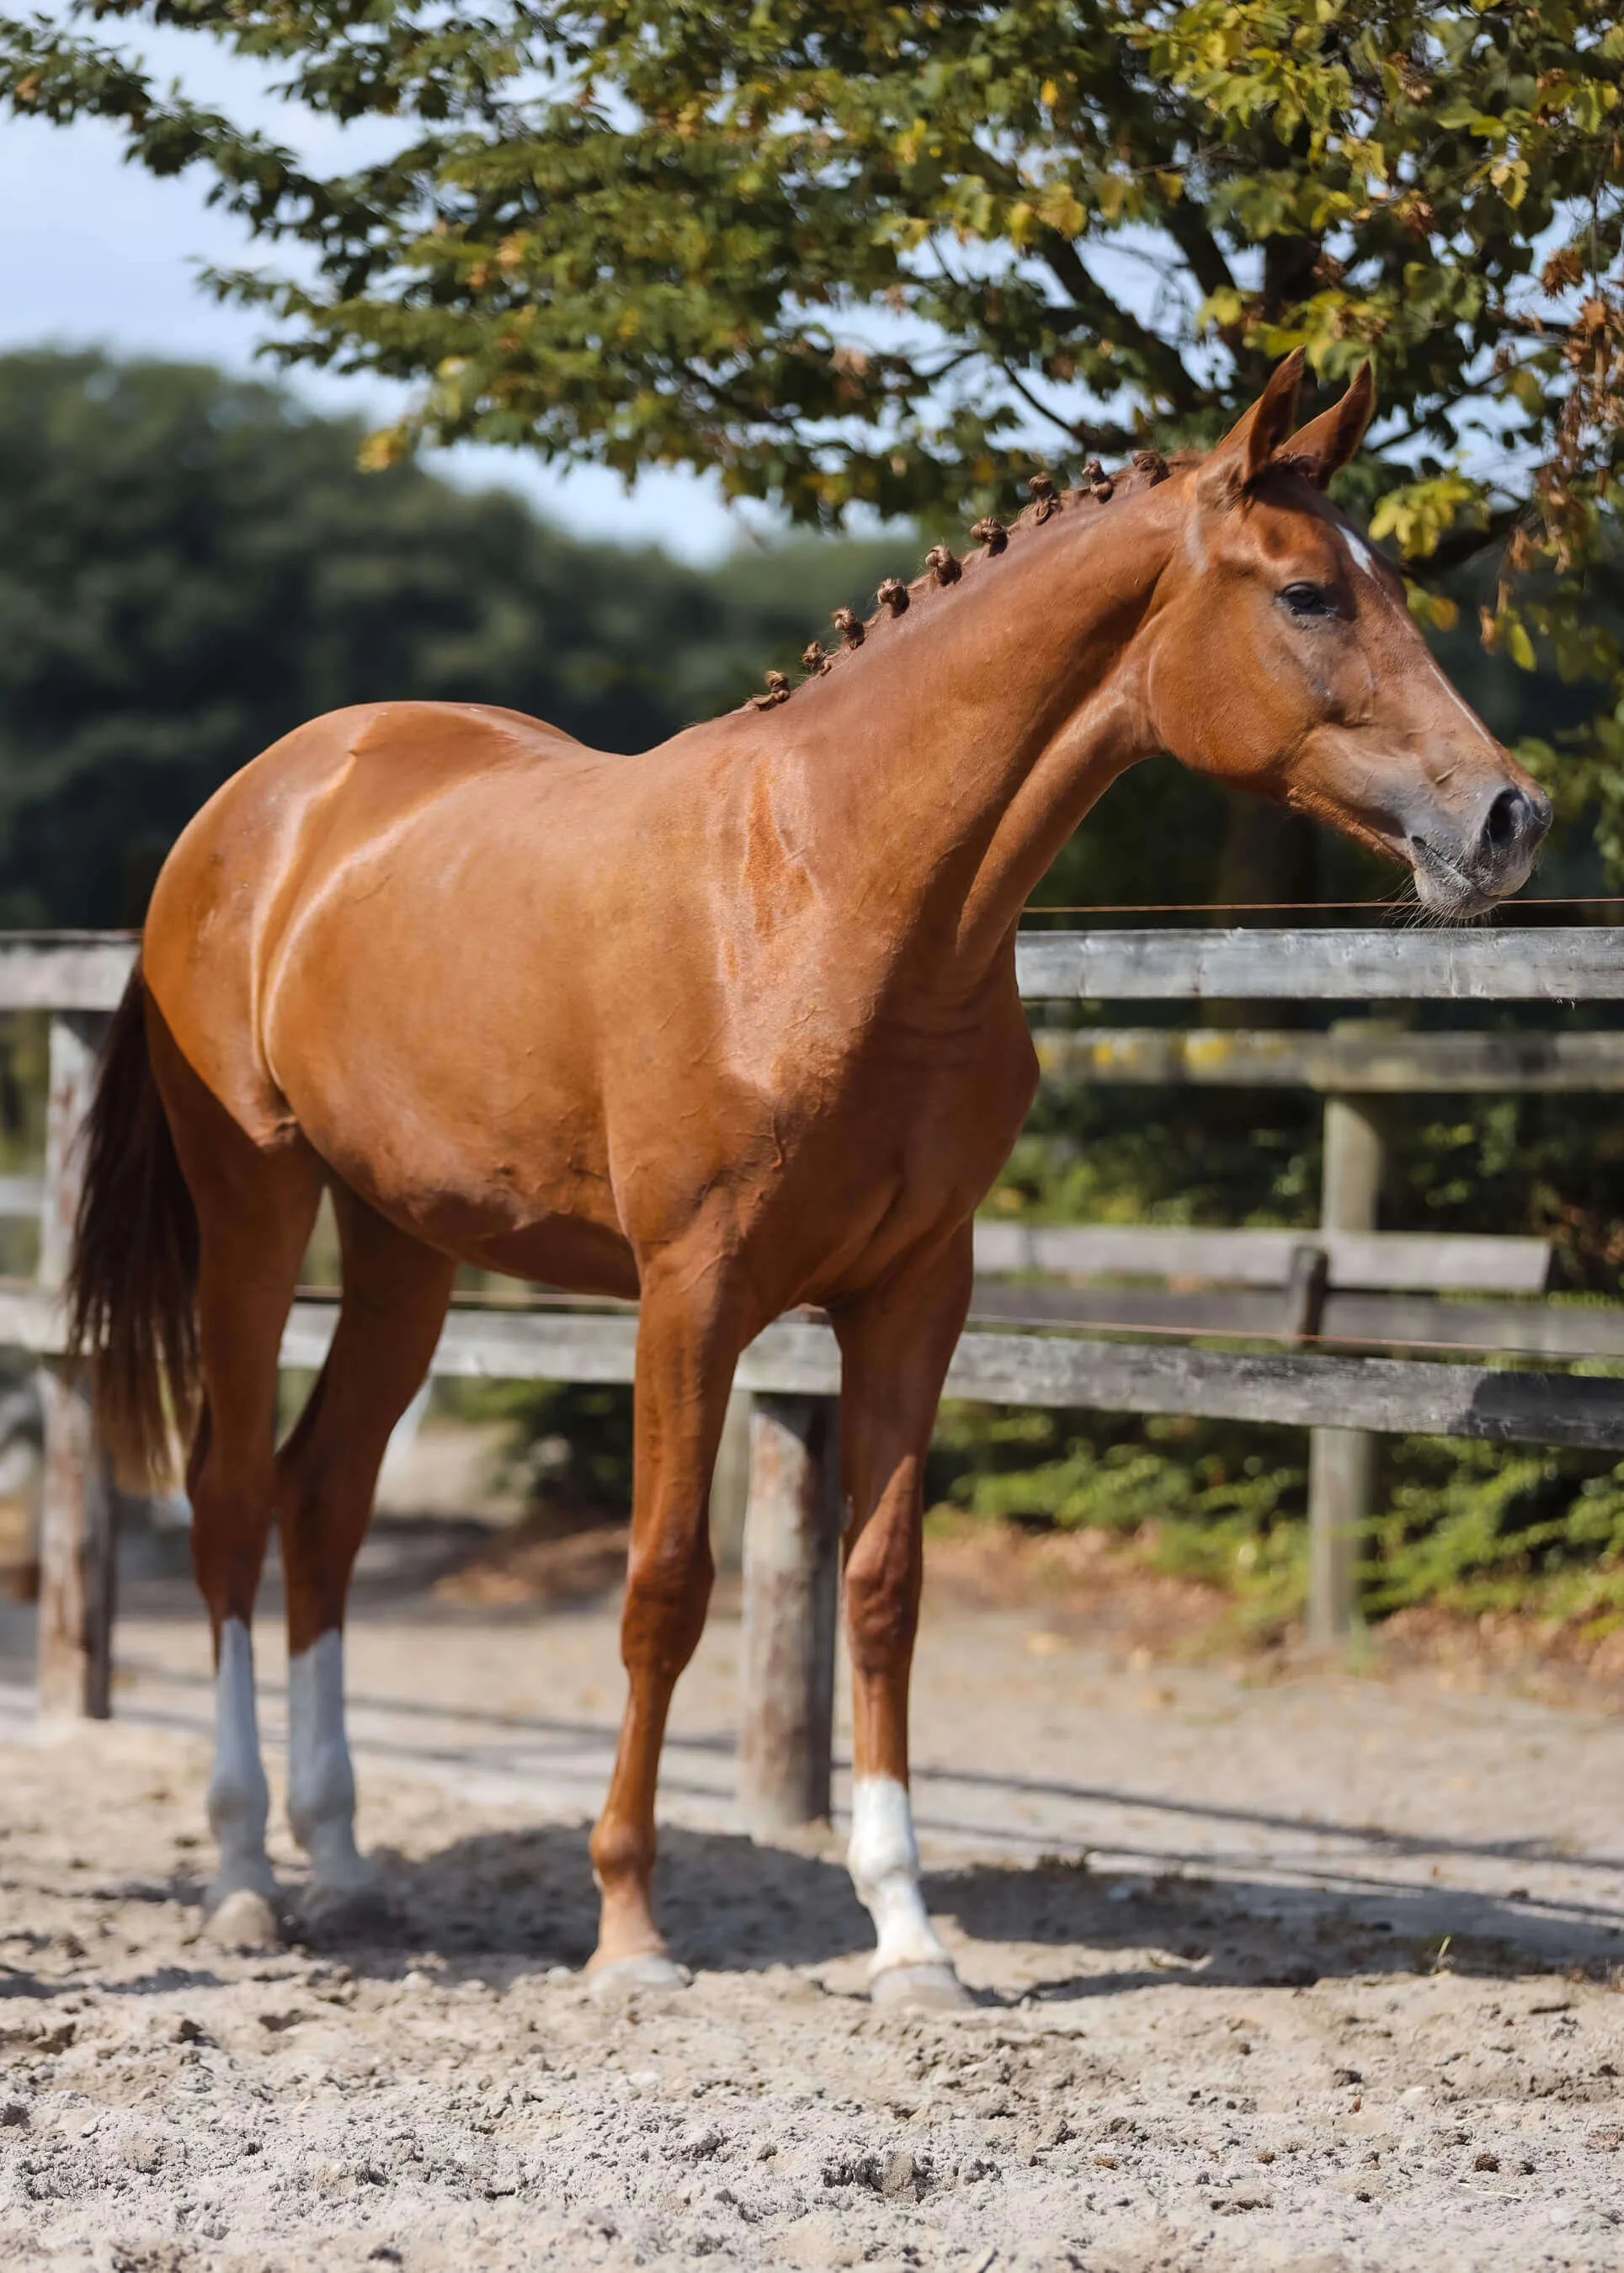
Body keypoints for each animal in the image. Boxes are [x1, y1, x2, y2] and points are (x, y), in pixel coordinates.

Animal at [68, 351, 1549, 2004]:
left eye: (1390, 587)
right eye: (1303, 595)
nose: (1505, 818)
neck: (833, 894)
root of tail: (259, 807)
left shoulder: (913, 1296)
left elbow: (884, 1591)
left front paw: (907, 1937)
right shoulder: (690, 1295)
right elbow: (664, 1587)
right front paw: (630, 1926)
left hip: (405, 1247)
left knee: (324, 1501)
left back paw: (340, 1863)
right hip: (256, 1212)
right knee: (229, 1501)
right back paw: (244, 1877)